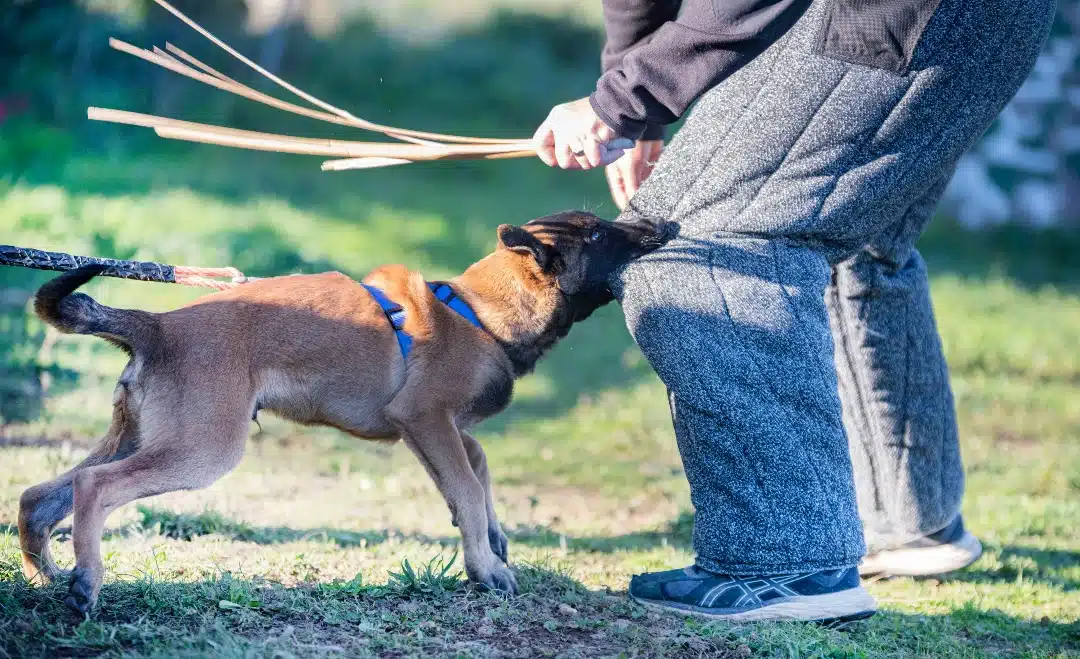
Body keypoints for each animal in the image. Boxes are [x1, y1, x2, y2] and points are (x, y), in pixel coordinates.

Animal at [19, 210, 665, 609]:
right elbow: (466, 482)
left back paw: (48, 575)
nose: (663, 224)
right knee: (96, 487)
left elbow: (475, 470)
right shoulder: (426, 418)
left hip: (137, 436)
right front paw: (485, 567)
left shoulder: (436, 429)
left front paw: (493, 535)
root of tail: (157, 325)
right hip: (200, 449)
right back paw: (86, 583)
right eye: (599, 236)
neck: (479, 315)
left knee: (43, 495)